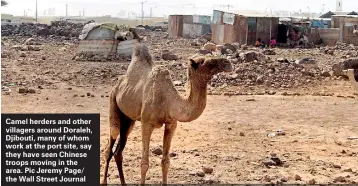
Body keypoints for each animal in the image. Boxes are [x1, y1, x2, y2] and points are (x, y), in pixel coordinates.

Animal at [102, 43, 234, 185]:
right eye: (203, 61)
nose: (227, 63)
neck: (168, 101)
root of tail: (118, 84)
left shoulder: (171, 124)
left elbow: (165, 162)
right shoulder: (146, 123)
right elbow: (144, 163)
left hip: (128, 119)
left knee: (119, 150)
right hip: (113, 101)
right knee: (110, 144)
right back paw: (104, 181)